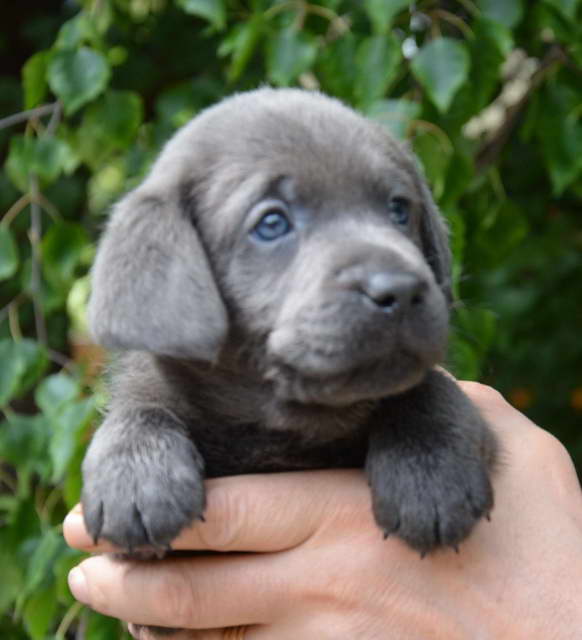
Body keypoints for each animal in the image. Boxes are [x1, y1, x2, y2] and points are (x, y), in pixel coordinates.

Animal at [84, 87, 500, 564]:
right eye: (271, 223)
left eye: (399, 210)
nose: (400, 289)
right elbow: (138, 408)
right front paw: (133, 477)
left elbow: (432, 389)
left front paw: (429, 474)